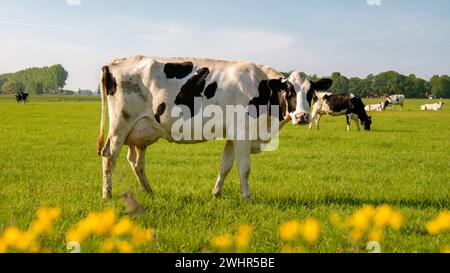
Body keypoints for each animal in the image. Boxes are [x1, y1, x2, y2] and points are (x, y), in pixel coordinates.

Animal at [96, 55, 332, 200]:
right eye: (288, 91)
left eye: (310, 93)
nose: (302, 117)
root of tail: (113, 63)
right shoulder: (243, 133)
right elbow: (244, 167)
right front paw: (246, 197)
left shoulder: (233, 135)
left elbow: (225, 166)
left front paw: (216, 193)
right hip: (120, 124)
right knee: (109, 156)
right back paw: (107, 195)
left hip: (140, 131)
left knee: (136, 162)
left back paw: (148, 192)